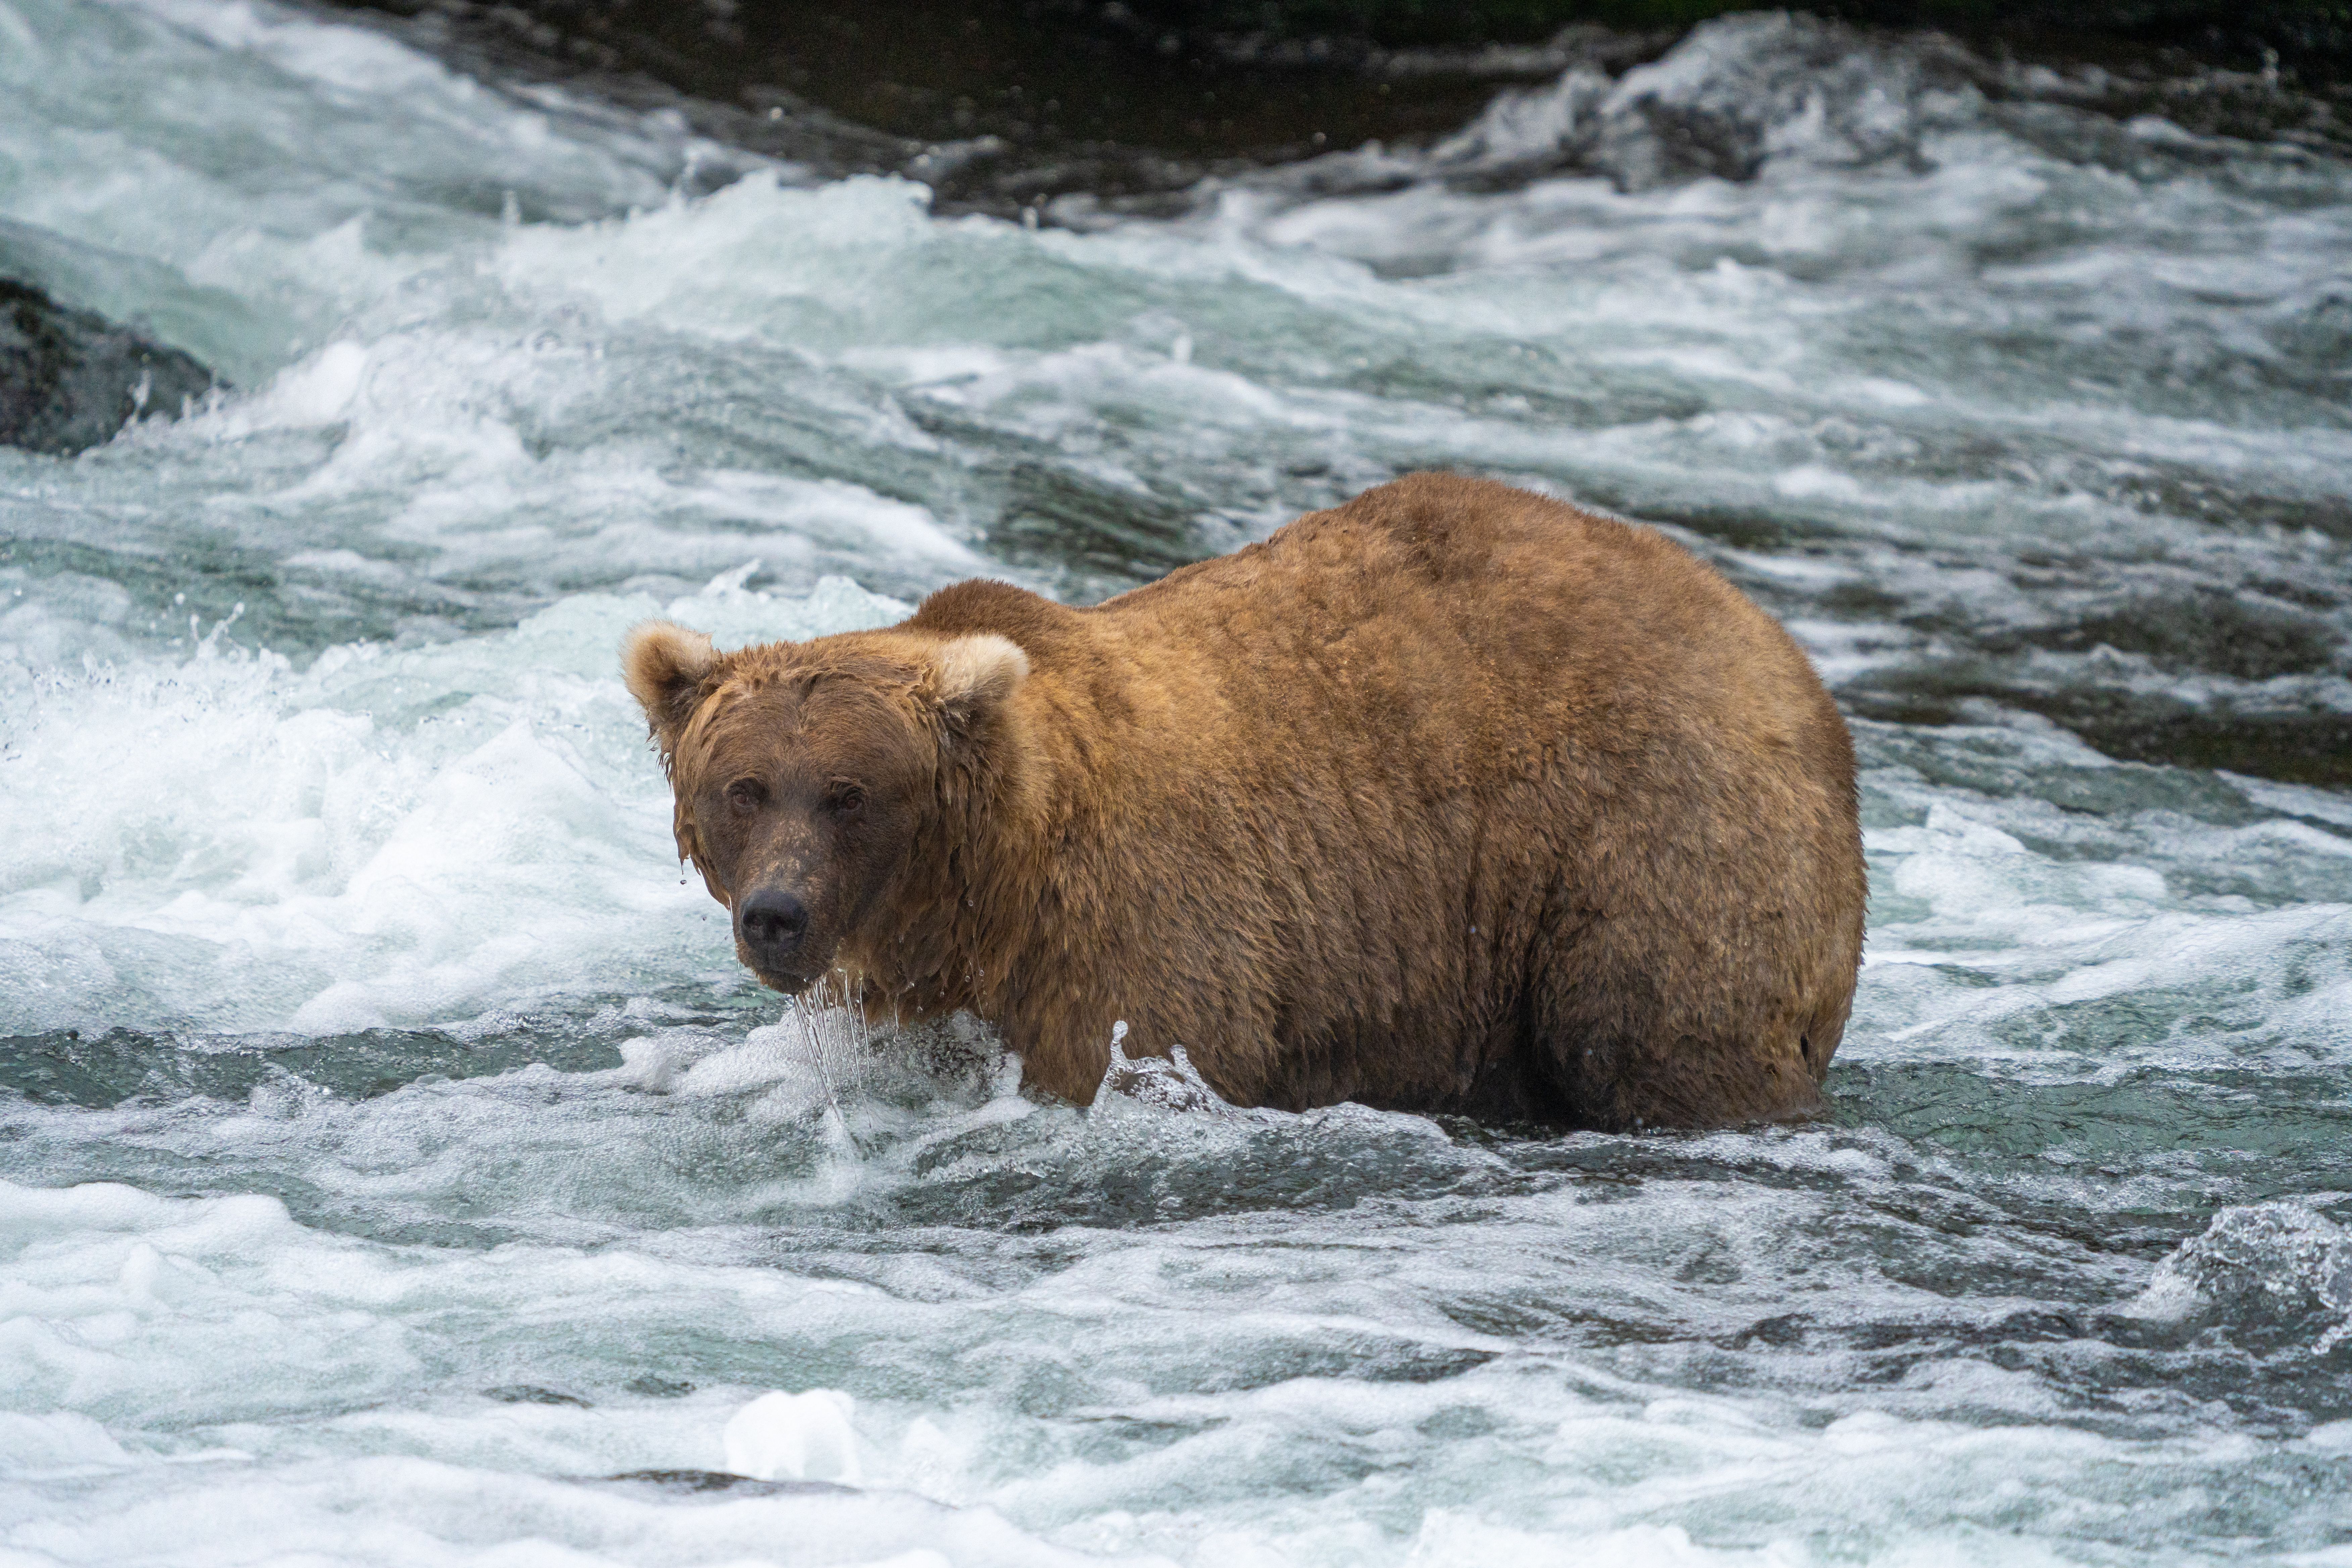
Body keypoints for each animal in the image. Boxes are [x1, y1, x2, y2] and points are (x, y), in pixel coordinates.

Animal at [623, 473, 1866, 1129]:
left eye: (849, 794)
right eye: (742, 789)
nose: (776, 915)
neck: (988, 895)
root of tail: (1780, 648)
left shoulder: (1138, 938)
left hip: (1650, 836)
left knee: (1654, 1030)